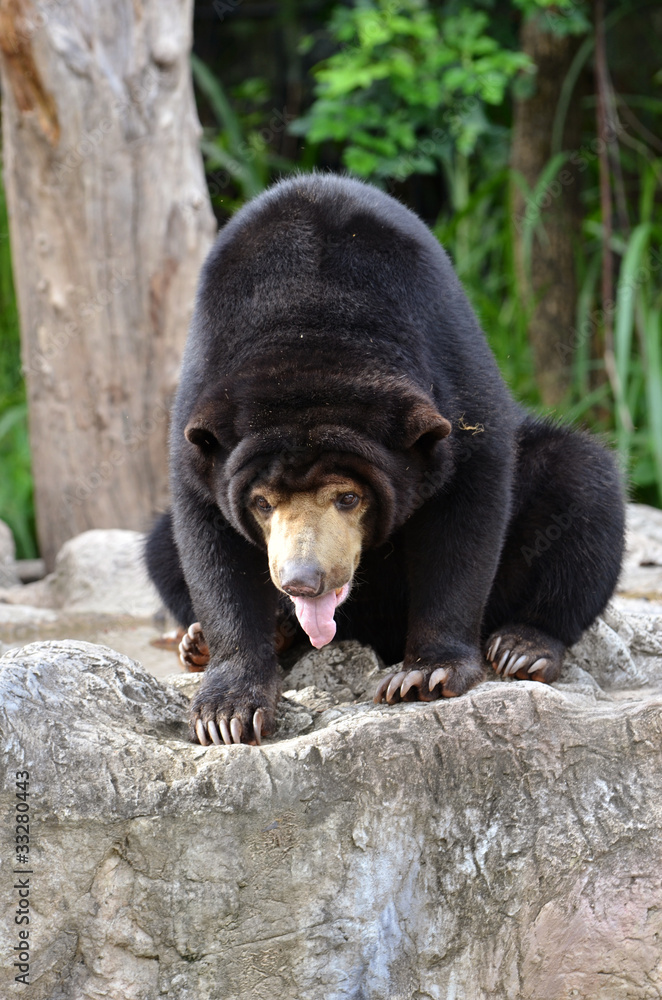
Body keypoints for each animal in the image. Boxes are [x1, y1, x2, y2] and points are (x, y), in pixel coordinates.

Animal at [145, 174, 628, 744]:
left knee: (583, 483)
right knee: (160, 545)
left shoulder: (451, 374)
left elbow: (466, 514)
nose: (302, 581)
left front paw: (424, 675)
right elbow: (208, 543)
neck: (309, 328)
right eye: (262, 503)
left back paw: (523, 648)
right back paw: (211, 640)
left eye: (348, 497)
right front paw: (226, 713)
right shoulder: (201, 420)